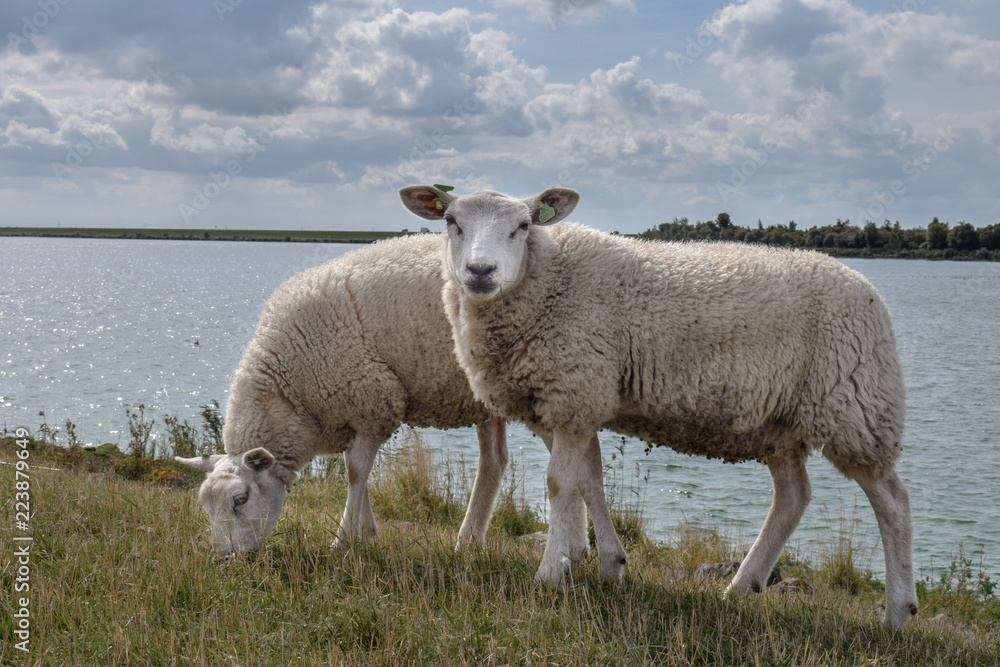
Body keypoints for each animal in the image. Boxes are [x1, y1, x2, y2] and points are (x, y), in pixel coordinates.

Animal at [176, 234, 507, 557]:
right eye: (206, 505)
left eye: (241, 499)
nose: (225, 557)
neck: (291, 393)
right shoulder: (350, 414)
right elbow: (356, 469)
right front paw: (367, 533)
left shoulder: (373, 402)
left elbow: (356, 472)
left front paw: (343, 540)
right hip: (484, 399)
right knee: (494, 460)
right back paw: (468, 543)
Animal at [399, 185, 919, 628]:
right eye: (450, 221)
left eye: (523, 226)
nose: (480, 272)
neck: (547, 281)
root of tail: (868, 288)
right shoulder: (576, 400)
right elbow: (588, 479)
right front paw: (607, 564)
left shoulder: (575, 392)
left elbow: (559, 483)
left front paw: (549, 575)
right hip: (779, 422)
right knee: (793, 496)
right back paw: (740, 587)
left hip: (857, 408)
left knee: (893, 504)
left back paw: (897, 614)